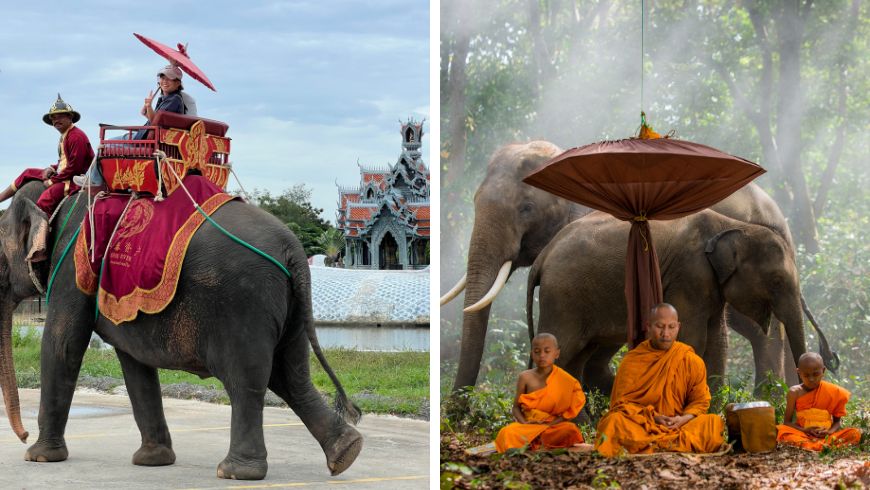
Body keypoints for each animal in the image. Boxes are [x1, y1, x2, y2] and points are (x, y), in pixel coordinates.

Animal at [0, 181, 363, 480]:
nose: (22, 435)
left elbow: (62, 345)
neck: (57, 196)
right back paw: (346, 452)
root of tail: (295, 251)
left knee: (246, 381)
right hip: (290, 309)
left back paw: (236, 472)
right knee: (291, 376)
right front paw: (153, 461)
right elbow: (134, 362)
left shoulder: (72, 266)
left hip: (244, 303)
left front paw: (38, 458)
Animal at [527, 209, 811, 396]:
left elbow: (716, 343)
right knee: (561, 352)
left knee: (576, 361)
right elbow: (693, 339)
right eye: (776, 282)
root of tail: (542, 256)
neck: (731, 224)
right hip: (562, 299)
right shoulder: (690, 275)